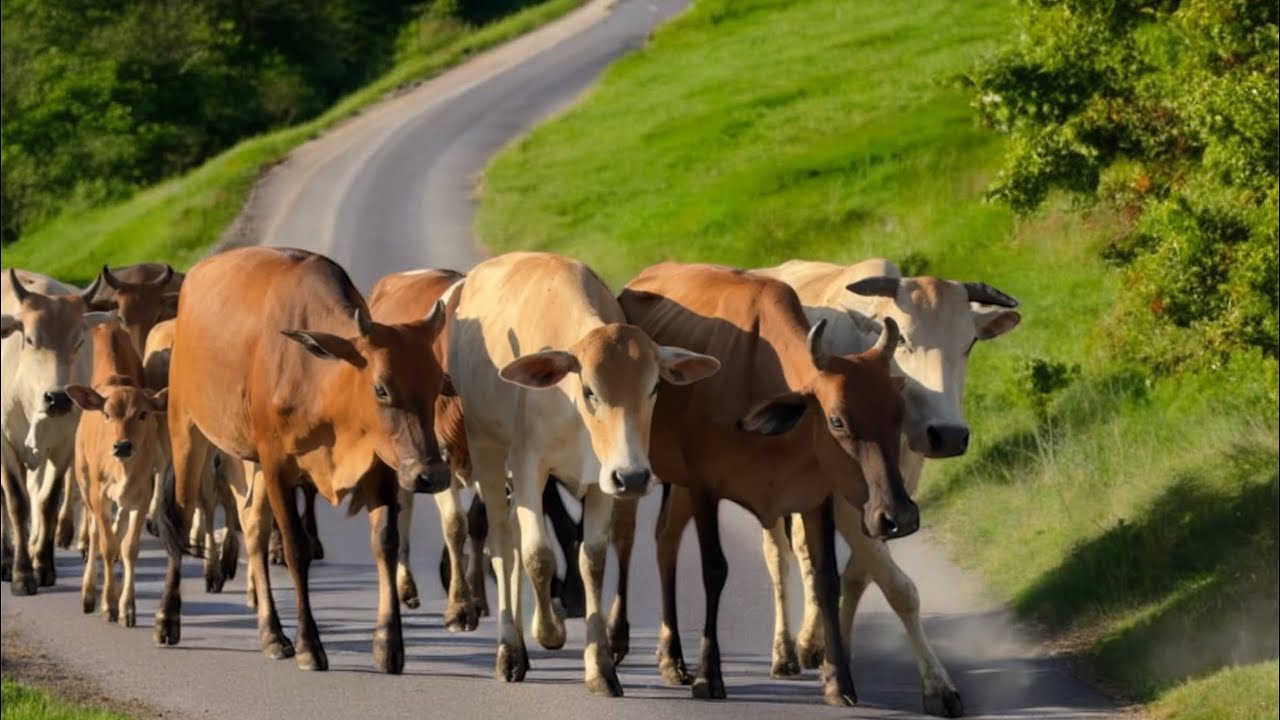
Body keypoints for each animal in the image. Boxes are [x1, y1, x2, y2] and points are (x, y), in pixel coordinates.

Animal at [1, 268, 109, 595]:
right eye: (30, 339)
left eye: (78, 341)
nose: (58, 398)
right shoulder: (4, 444)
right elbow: (16, 502)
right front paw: (21, 573)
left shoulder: (63, 447)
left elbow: (47, 501)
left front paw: (42, 566)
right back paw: (6, 558)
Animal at [68, 317, 167, 627]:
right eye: (107, 414)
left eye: (143, 414)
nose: (122, 445)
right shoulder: (98, 493)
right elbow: (107, 544)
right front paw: (109, 604)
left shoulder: (142, 494)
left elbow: (128, 547)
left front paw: (128, 607)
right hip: (84, 480)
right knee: (93, 531)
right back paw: (89, 593)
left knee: (116, 530)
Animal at [153, 246, 452, 674]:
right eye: (381, 388)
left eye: (436, 383)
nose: (431, 474)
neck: (320, 378)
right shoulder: (278, 464)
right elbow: (296, 547)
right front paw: (310, 645)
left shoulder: (378, 466)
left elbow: (385, 542)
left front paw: (389, 644)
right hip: (187, 428)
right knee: (180, 515)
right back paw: (167, 619)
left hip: (252, 462)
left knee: (255, 532)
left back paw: (272, 634)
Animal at [447, 251, 719, 696]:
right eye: (591, 390)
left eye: (653, 388)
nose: (636, 478)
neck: (572, 407)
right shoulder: (528, 467)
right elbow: (538, 556)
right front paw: (549, 632)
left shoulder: (604, 482)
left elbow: (592, 560)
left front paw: (601, 669)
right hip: (486, 447)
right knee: (504, 545)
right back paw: (510, 651)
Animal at [616, 261, 916, 706]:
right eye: (837, 420)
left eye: (898, 414)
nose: (899, 516)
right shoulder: (704, 486)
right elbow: (714, 570)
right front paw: (710, 677)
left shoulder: (815, 497)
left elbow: (826, 578)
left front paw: (839, 681)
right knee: (623, 538)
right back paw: (617, 644)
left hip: (678, 483)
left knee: (665, 538)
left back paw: (672, 660)